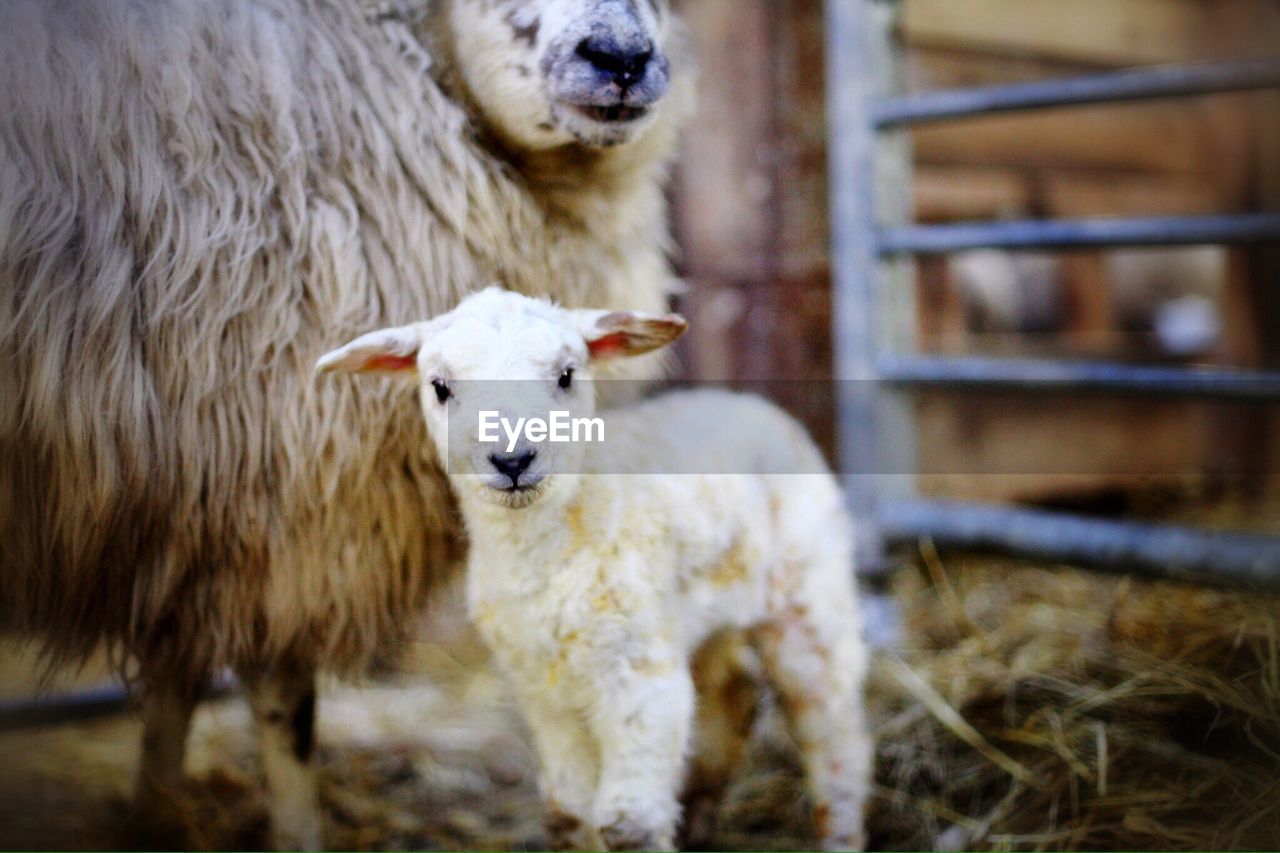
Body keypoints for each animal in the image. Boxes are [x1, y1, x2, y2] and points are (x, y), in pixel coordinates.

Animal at [0, 0, 696, 845]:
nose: (621, 58)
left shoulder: (191, 503)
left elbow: (175, 675)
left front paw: (158, 811)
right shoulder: (282, 494)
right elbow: (282, 703)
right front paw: (294, 829)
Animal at [320, 286, 875, 850]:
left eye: (566, 375)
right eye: (439, 387)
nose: (513, 460)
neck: (546, 555)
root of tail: (749, 402)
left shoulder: (641, 675)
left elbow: (628, 824)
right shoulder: (541, 689)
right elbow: (569, 813)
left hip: (810, 587)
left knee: (833, 730)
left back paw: (838, 829)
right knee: (732, 691)